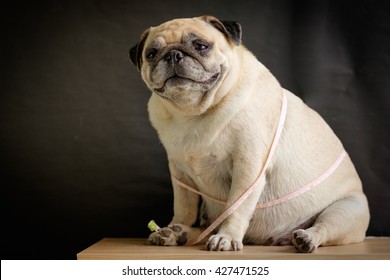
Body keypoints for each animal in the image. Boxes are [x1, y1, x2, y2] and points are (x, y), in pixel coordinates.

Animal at [129, 15, 370, 253]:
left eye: (201, 46)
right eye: (151, 54)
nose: (173, 55)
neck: (193, 113)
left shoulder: (248, 169)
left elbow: (236, 208)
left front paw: (226, 238)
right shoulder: (180, 176)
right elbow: (184, 208)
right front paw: (175, 227)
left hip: (346, 210)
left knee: (323, 227)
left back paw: (306, 238)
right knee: (202, 227)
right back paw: (177, 233)